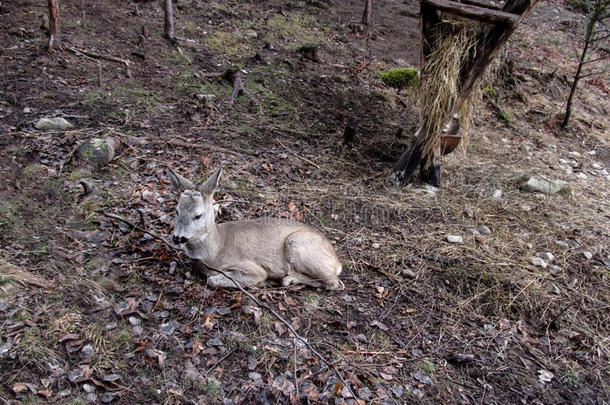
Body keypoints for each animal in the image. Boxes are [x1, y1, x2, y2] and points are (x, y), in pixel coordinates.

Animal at [166, 166, 344, 288]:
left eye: (198, 215)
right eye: (176, 210)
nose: (177, 238)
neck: (216, 250)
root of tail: (338, 263)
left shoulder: (251, 267)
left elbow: (213, 280)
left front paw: (260, 283)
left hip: (298, 242)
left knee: (334, 283)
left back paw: (287, 278)